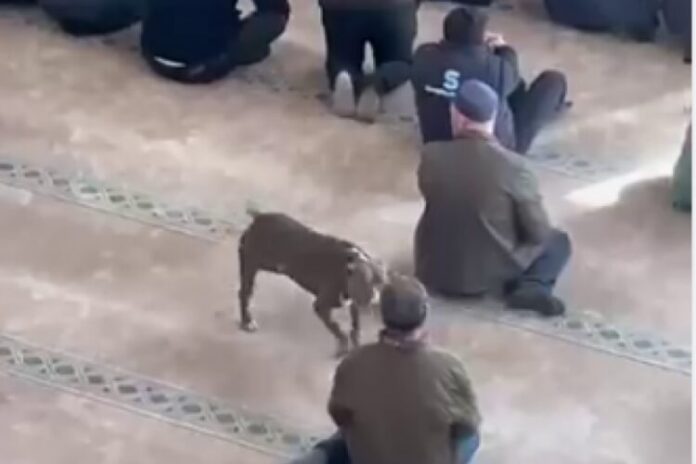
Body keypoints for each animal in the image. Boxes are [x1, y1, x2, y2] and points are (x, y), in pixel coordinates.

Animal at [237, 209, 388, 357]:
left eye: (381, 282)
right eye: (366, 281)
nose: (375, 297)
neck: (347, 267)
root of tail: (259, 217)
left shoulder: (353, 304)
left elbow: (355, 327)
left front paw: (355, 342)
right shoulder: (320, 306)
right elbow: (337, 328)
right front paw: (343, 348)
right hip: (251, 266)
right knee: (244, 293)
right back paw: (247, 322)